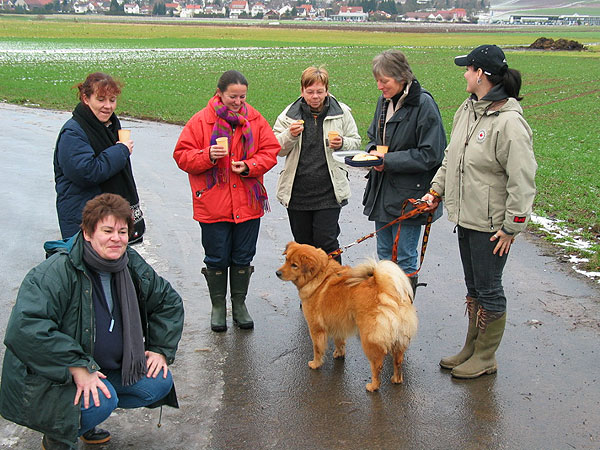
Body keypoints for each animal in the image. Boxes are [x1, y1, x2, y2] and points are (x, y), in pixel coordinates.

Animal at [276, 241, 418, 392]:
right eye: (286, 259)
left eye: (294, 265)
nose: (277, 273)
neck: (319, 275)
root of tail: (387, 293)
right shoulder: (337, 324)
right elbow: (339, 342)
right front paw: (339, 354)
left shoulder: (315, 328)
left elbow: (317, 349)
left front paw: (315, 364)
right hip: (399, 340)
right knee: (398, 361)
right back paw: (396, 379)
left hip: (368, 339)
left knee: (377, 365)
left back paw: (373, 386)